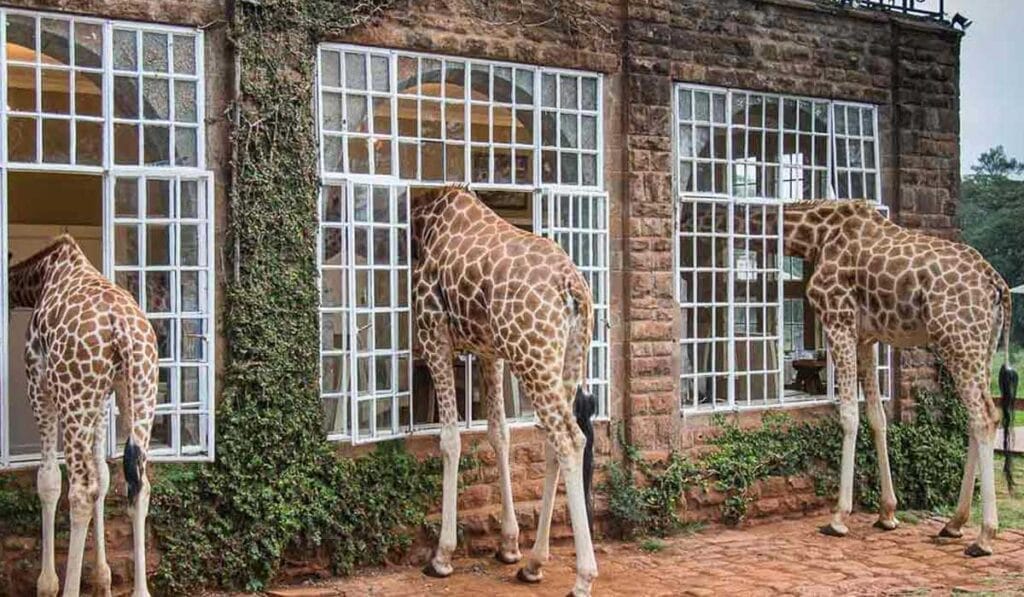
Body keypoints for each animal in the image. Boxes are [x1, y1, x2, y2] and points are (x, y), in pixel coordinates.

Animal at [9, 234, 157, 597]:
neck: (44, 273)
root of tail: (123, 328)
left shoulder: (39, 384)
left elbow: (48, 479)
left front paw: (47, 584)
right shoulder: (102, 398)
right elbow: (104, 475)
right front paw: (103, 577)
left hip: (75, 397)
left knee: (79, 491)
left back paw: (68, 589)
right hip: (140, 389)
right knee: (139, 485)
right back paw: (140, 590)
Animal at [409, 184, 598, 593]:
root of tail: (572, 286)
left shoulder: (433, 333)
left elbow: (450, 439)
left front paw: (442, 555)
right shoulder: (489, 351)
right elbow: (499, 433)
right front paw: (509, 545)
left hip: (531, 354)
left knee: (570, 439)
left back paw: (583, 578)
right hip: (568, 355)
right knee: (555, 439)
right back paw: (533, 563)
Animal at [782, 199, 1015, 557]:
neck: (816, 235)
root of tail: (999, 286)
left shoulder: (837, 320)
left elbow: (848, 415)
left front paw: (839, 518)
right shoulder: (866, 337)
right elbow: (877, 417)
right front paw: (887, 513)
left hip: (958, 340)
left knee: (984, 417)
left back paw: (984, 536)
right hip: (982, 346)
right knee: (981, 417)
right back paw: (954, 523)